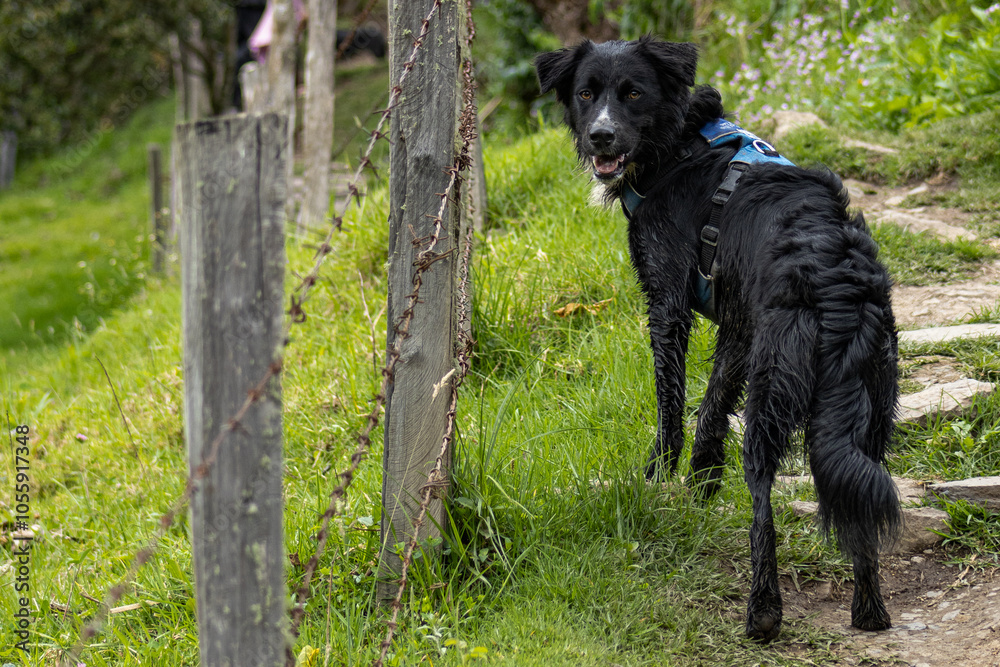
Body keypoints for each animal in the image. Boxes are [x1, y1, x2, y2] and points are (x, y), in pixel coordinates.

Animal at [536, 37, 904, 640]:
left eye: (633, 93)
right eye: (586, 94)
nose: (601, 137)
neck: (679, 143)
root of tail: (838, 284)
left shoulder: (667, 301)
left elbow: (672, 402)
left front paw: (661, 475)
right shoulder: (737, 324)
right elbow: (710, 406)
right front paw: (702, 482)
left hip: (773, 393)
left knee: (763, 506)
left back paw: (763, 612)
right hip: (873, 407)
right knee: (859, 497)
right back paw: (869, 611)